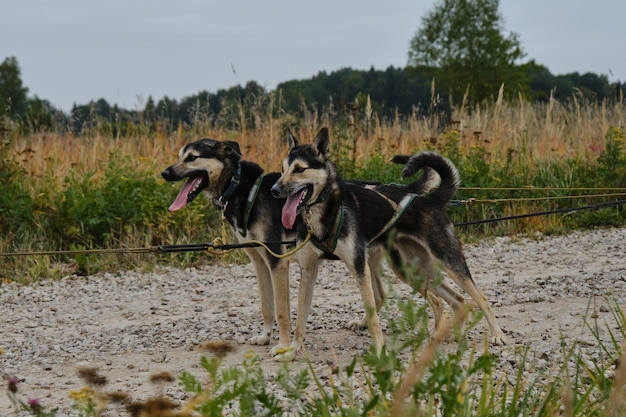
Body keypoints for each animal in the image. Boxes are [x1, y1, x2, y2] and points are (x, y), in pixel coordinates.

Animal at [162, 138, 438, 360]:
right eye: (179, 155)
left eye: (192, 157)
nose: (164, 173)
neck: (242, 189)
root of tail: (398, 190)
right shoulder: (259, 262)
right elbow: (266, 305)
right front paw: (265, 335)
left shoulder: (278, 263)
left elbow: (283, 312)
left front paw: (283, 344)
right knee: (379, 295)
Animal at [270, 127, 504, 354]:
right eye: (282, 170)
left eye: (299, 169)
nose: (274, 190)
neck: (324, 211)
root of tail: (431, 199)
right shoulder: (308, 271)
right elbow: (300, 317)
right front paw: (293, 347)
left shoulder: (359, 267)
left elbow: (373, 316)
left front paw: (379, 349)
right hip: (412, 270)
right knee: (454, 300)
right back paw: (446, 335)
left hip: (447, 260)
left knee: (478, 298)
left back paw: (496, 334)